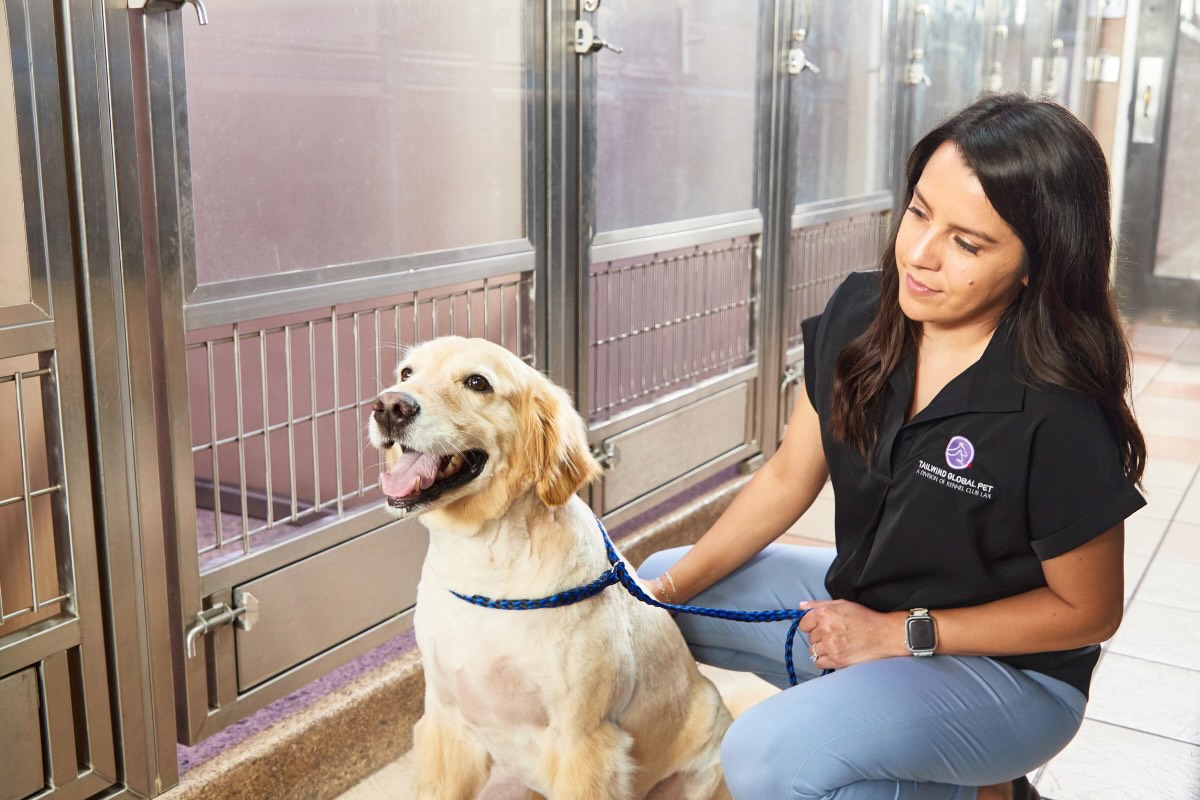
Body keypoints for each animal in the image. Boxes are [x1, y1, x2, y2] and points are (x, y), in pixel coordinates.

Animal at [367, 335, 729, 796]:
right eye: (406, 373)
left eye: (477, 382)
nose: (389, 405)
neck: (484, 567)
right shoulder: (445, 721)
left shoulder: (583, 743)